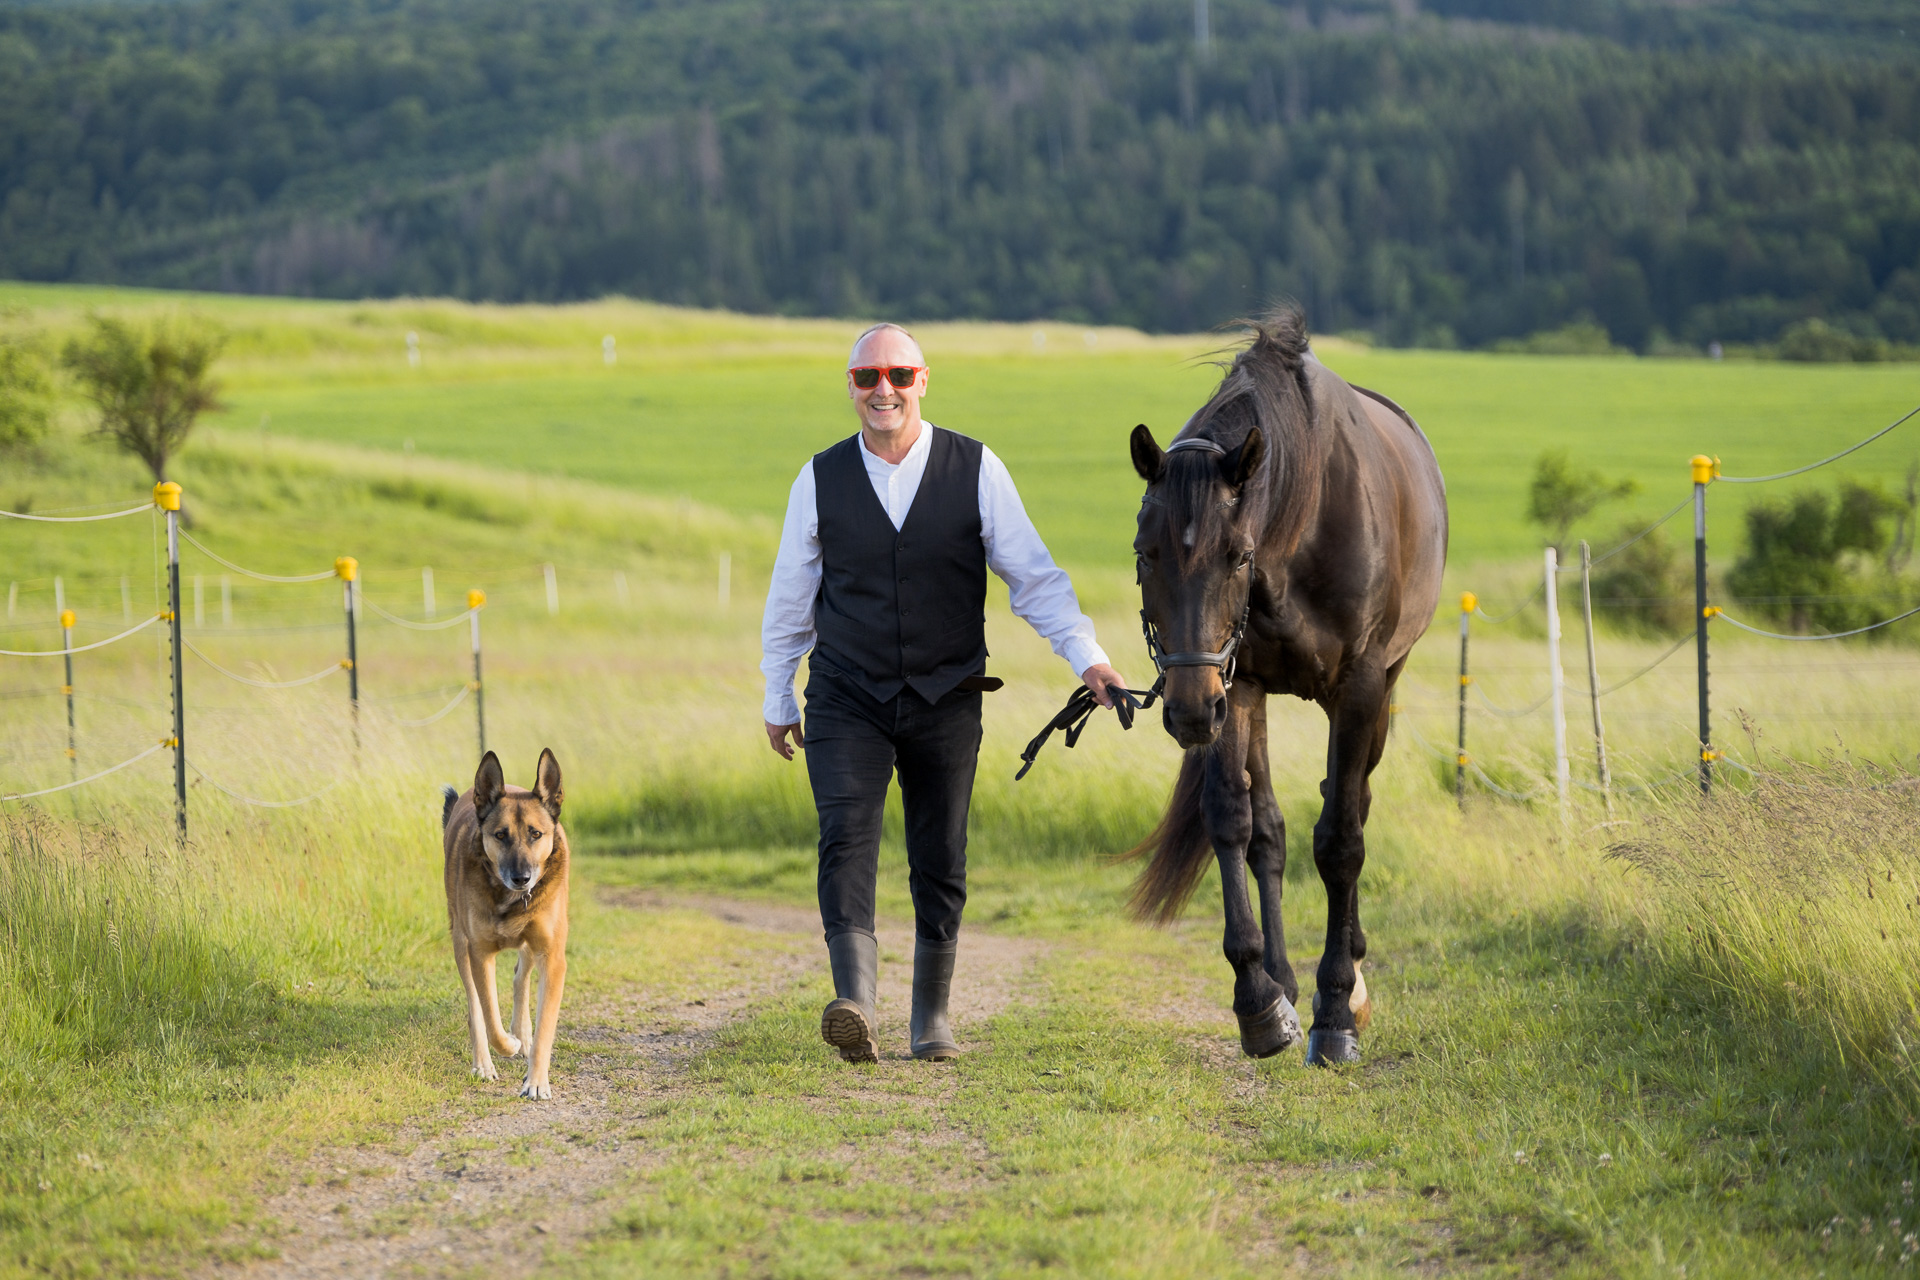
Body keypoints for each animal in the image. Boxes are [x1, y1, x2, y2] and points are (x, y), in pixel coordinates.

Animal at [441, 752, 568, 1105]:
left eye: (536, 834)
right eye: (500, 835)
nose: (522, 878)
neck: (510, 899)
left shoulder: (552, 957)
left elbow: (545, 1027)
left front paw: (536, 1081)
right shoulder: (480, 954)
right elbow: (489, 1017)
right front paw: (508, 1044)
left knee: (520, 977)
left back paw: (522, 1034)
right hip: (460, 943)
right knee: (475, 1007)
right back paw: (485, 1062)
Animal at [1121, 310, 1443, 1074]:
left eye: (1237, 554)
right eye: (1146, 554)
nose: (1185, 710)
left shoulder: (1359, 687)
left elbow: (1342, 841)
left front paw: (1337, 1010)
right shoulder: (1233, 685)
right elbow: (1235, 822)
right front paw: (1259, 999)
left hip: (1379, 692)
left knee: (1353, 805)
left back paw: (1348, 971)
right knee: (1268, 827)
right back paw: (1286, 980)